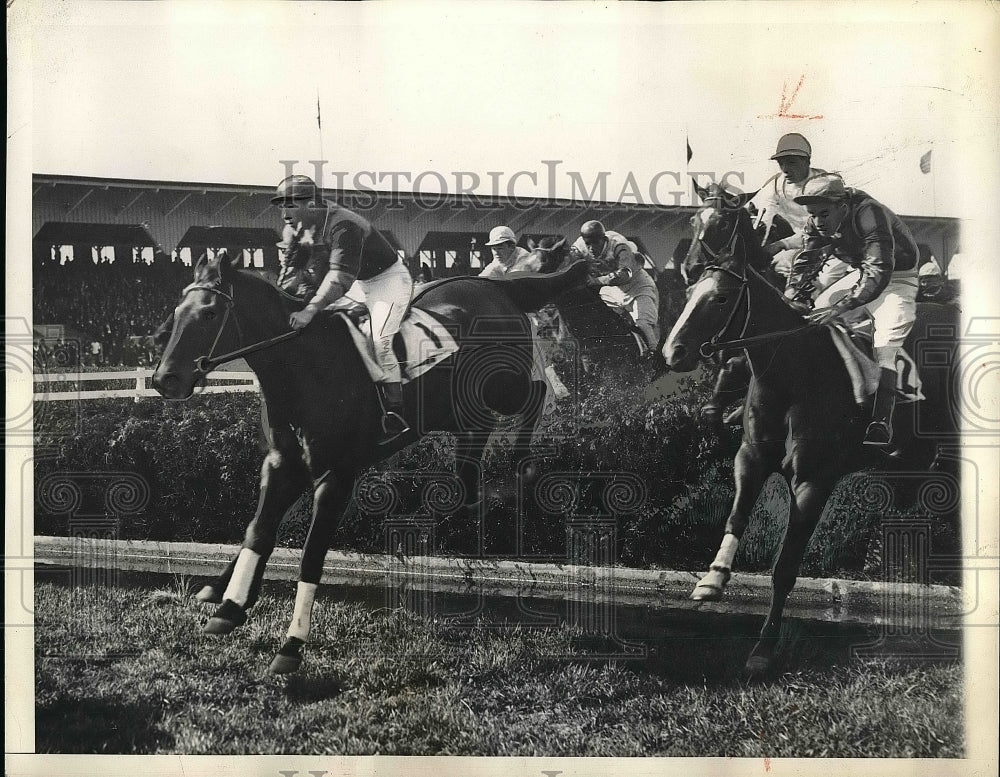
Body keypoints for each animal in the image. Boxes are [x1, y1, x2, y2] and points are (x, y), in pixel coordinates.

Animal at [152, 250, 588, 672]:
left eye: (210, 313)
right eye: (177, 311)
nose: (164, 379)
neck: (304, 370)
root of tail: (495, 285)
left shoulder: (337, 476)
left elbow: (310, 555)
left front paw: (291, 645)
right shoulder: (283, 466)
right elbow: (258, 531)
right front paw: (228, 605)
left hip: (503, 386)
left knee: (536, 393)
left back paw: (522, 464)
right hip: (456, 411)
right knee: (471, 458)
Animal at [664, 185, 960, 676]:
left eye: (722, 298)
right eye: (690, 291)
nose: (674, 352)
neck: (791, 372)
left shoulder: (813, 480)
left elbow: (785, 566)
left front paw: (764, 648)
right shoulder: (750, 457)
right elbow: (736, 517)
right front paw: (712, 580)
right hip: (914, 460)